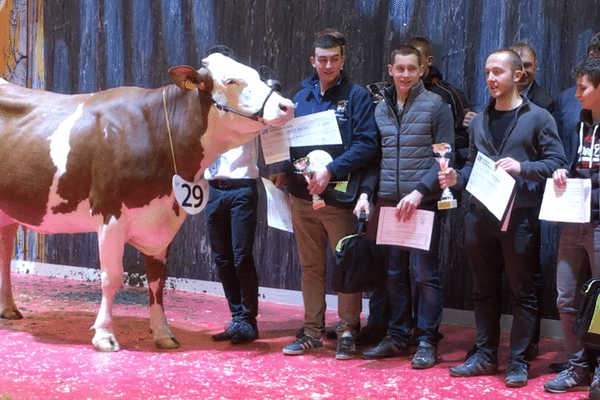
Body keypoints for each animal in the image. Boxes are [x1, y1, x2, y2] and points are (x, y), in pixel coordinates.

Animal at [0, 52, 292, 350]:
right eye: (231, 80)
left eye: (257, 74)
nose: (286, 105)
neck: (158, 131)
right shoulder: (109, 214)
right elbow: (111, 277)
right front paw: (104, 335)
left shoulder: (163, 222)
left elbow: (156, 281)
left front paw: (163, 333)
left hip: (8, 212)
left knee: (4, 252)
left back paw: (9, 309)